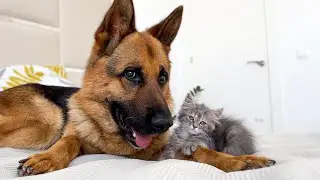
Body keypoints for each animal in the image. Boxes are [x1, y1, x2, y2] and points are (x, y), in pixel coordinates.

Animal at [0, 0, 276, 176]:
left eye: (163, 77)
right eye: (131, 74)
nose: (165, 123)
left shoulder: (163, 150)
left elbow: (199, 152)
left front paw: (240, 160)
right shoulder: (71, 136)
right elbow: (69, 142)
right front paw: (48, 157)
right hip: (47, 123)